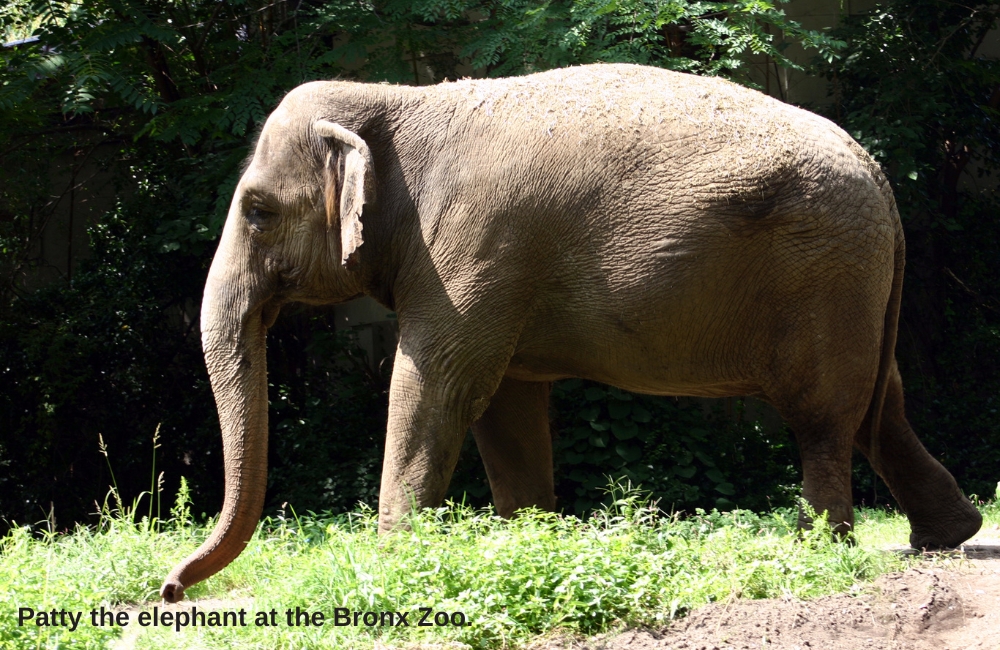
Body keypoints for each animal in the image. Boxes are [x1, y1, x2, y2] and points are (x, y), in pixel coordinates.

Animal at [159, 63, 982, 602]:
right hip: (855, 286)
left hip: (823, 277)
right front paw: (529, 535)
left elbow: (439, 381)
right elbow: (504, 401)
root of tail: (878, 172)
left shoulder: (472, 244)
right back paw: (946, 535)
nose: (170, 591)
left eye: (256, 210)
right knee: (883, 408)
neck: (395, 100)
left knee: (822, 416)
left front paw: (392, 563)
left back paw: (818, 548)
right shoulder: (487, 266)